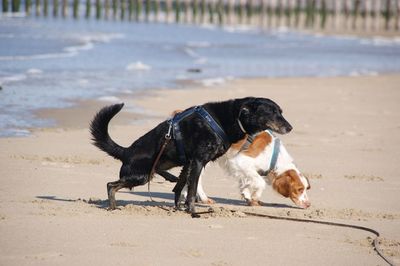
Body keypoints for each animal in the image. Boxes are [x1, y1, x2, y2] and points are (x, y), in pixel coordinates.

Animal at [89, 97, 292, 214]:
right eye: (272, 113)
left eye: (281, 112)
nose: (290, 127)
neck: (226, 119)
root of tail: (126, 151)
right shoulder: (198, 161)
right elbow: (192, 190)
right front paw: (193, 212)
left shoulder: (189, 163)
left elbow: (180, 188)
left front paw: (180, 208)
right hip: (139, 176)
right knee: (111, 185)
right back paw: (113, 207)